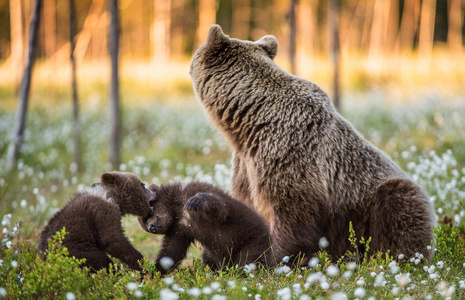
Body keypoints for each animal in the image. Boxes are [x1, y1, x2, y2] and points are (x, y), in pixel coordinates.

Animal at [188, 24, 436, 262]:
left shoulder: (289, 150)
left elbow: (291, 209)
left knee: (398, 204)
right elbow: (243, 206)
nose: (188, 67)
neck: (247, 121)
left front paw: (275, 257)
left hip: (368, 204)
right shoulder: (246, 162)